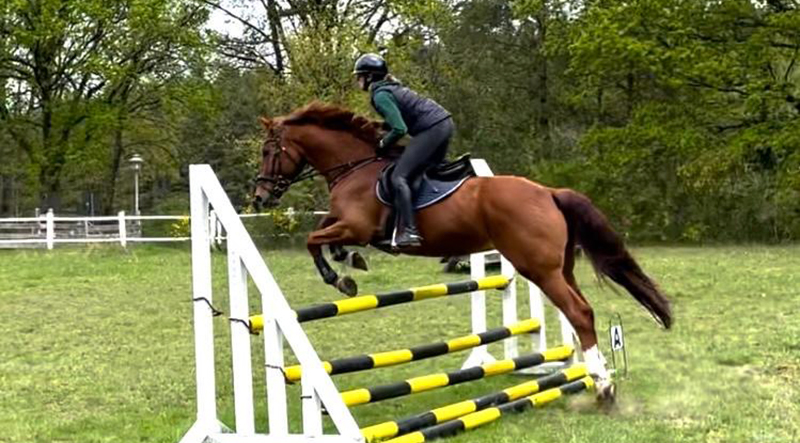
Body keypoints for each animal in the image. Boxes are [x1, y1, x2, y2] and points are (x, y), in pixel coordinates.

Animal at [253, 102, 672, 401]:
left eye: (268, 150)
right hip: (560, 267)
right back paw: (595, 376)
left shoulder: (357, 226)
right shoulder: (343, 222)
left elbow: (313, 240)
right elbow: (323, 233)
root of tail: (549, 192)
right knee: (581, 308)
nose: (260, 196)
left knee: (579, 312)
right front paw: (348, 260)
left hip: (539, 269)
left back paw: (603, 385)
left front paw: (340, 276)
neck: (355, 167)